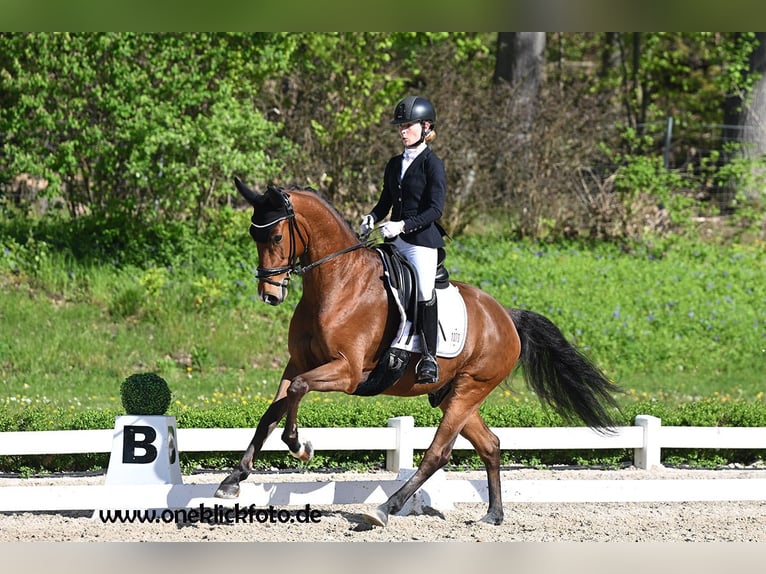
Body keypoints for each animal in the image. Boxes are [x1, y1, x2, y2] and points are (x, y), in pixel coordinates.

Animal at [214, 179, 622, 527]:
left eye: (276, 235)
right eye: (253, 235)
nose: (270, 294)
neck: (337, 282)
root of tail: (507, 316)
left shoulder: (346, 372)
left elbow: (298, 390)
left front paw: (300, 446)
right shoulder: (297, 363)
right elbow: (271, 413)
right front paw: (233, 479)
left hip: (470, 388)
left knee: (437, 453)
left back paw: (384, 509)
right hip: (453, 394)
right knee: (490, 445)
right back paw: (492, 515)